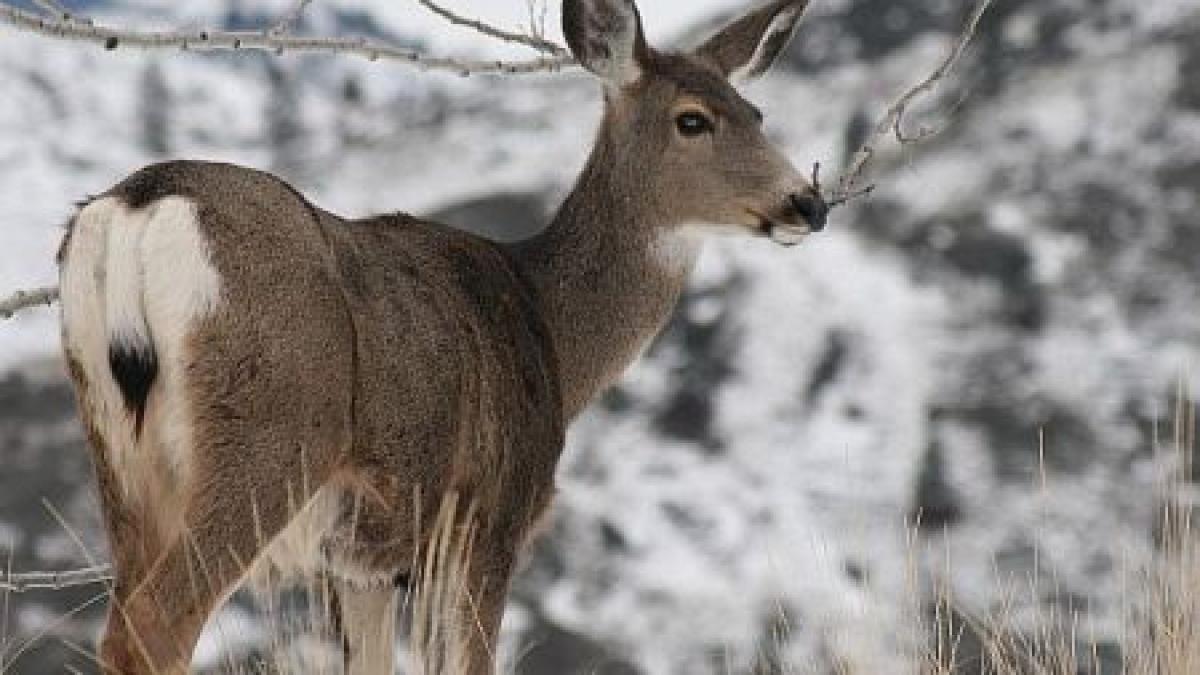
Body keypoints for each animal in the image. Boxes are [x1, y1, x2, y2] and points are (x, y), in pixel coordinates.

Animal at [56, 0, 825, 667]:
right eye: (692, 120)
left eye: (757, 113)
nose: (808, 201)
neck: (552, 332)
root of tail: (137, 206)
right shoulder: (486, 520)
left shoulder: (361, 560)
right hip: (271, 429)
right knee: (157, 623)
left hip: (120, 455)